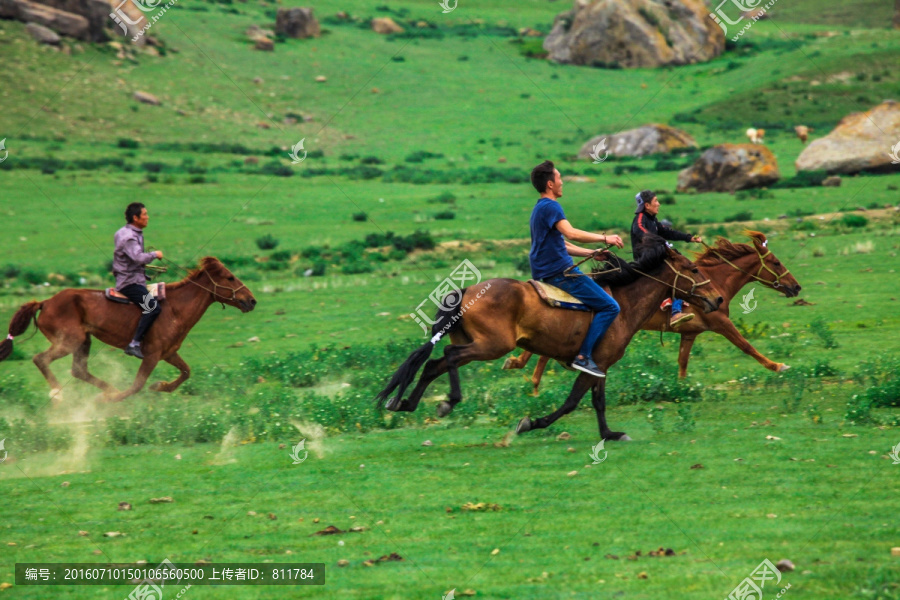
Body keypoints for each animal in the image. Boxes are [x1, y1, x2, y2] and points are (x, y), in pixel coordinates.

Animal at [0, 258, 255, 404]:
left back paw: (106, 389)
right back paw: (59, 393)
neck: (174, 308)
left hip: (84, 340)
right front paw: (112, 399)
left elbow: (186, 372)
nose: (251, 300)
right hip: (69, 341)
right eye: (230, 277)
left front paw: (160, 387)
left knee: (79, 370)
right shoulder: (151, 355)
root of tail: (45, 302)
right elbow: (137, 385)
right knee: (40, 359)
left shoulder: (169, 353)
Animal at [378, 236, 724, 440]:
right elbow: (573, 402)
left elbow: (597, 401)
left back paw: (404, 402)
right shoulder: (596, 363)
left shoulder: (599, 366)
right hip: (491, 346)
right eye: (693, 269)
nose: (718, 299)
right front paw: (532, 423)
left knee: (433, 364)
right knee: (448, 359)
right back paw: (449, 401)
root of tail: (467, 291)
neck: (623, 305)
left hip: (471, 343)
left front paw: (609, 433)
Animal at [502, 230, 804, 394]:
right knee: (544, 354)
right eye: (776, 263)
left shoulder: (690, 334)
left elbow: (682, 362)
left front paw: (681, 388)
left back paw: (524, 371)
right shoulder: (720, 323)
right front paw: (778, 366)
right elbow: (747, 346)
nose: (796, 286)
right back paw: (528, 376)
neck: (718, 282)